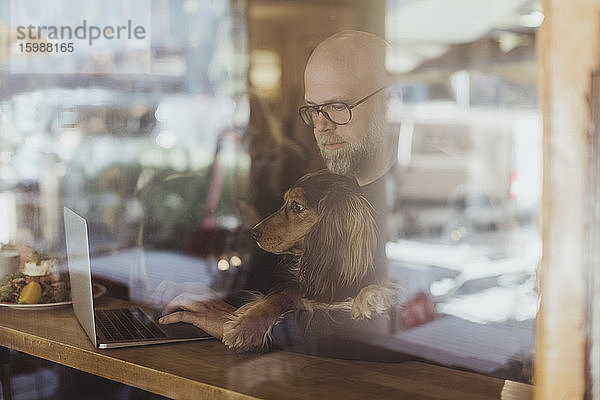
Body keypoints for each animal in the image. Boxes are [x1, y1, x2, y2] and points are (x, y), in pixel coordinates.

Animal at [221, 170, 398, 352]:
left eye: (297, 206)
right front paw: (244, 327)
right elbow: (279, 297)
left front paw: (370, 299)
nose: (254, 233)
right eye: (284, 201)